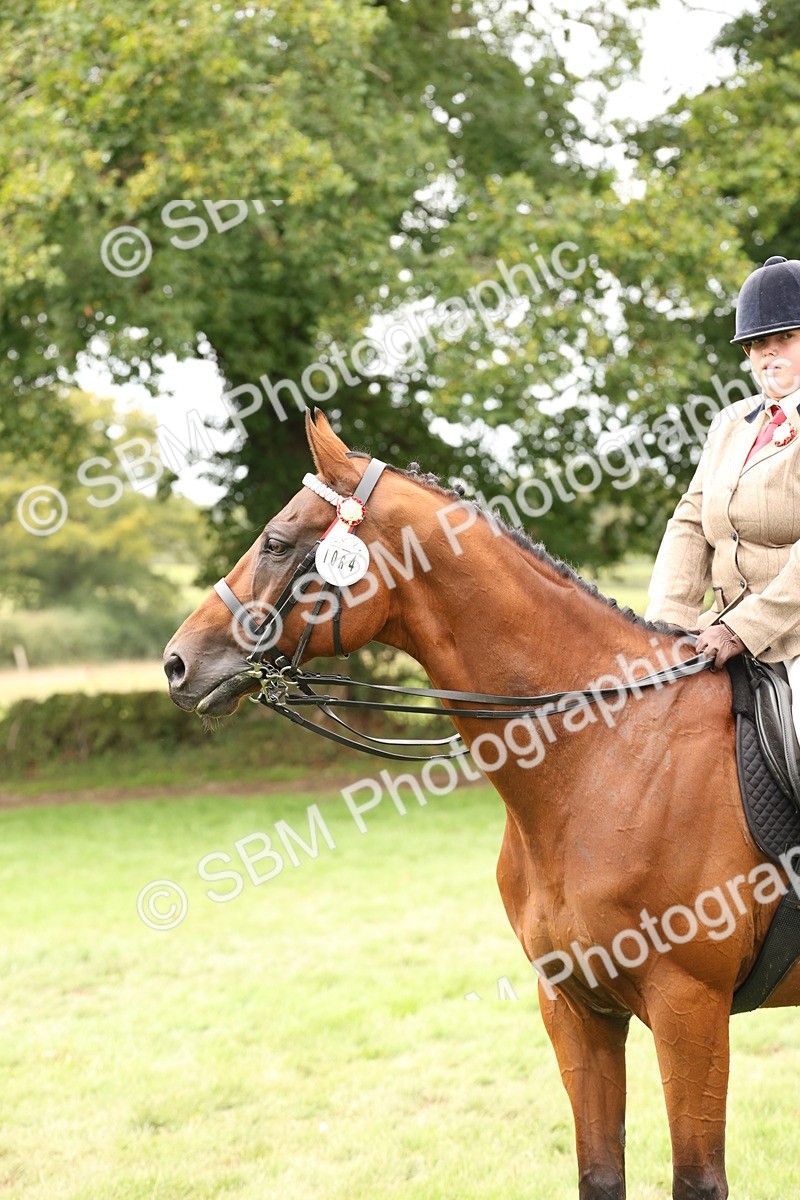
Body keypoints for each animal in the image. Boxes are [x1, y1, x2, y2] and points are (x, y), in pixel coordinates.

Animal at [164, 410, 800, 1200]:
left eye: (278, 543)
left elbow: (698, 1179)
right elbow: (599, 1172)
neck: (607, 752)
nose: (178, 663)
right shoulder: (574, 1006)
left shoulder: (691, 1008)